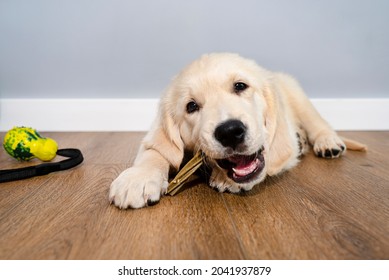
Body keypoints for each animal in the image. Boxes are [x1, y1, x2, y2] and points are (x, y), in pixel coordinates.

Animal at [108, 53, 364, 209]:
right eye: (191, 106)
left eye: (240, 86)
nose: (230, 132)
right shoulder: (155, 139)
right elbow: (155, 152)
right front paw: (138, 178)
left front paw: (225, 178)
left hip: (297, 95)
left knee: (316, 122)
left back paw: (327, 142)